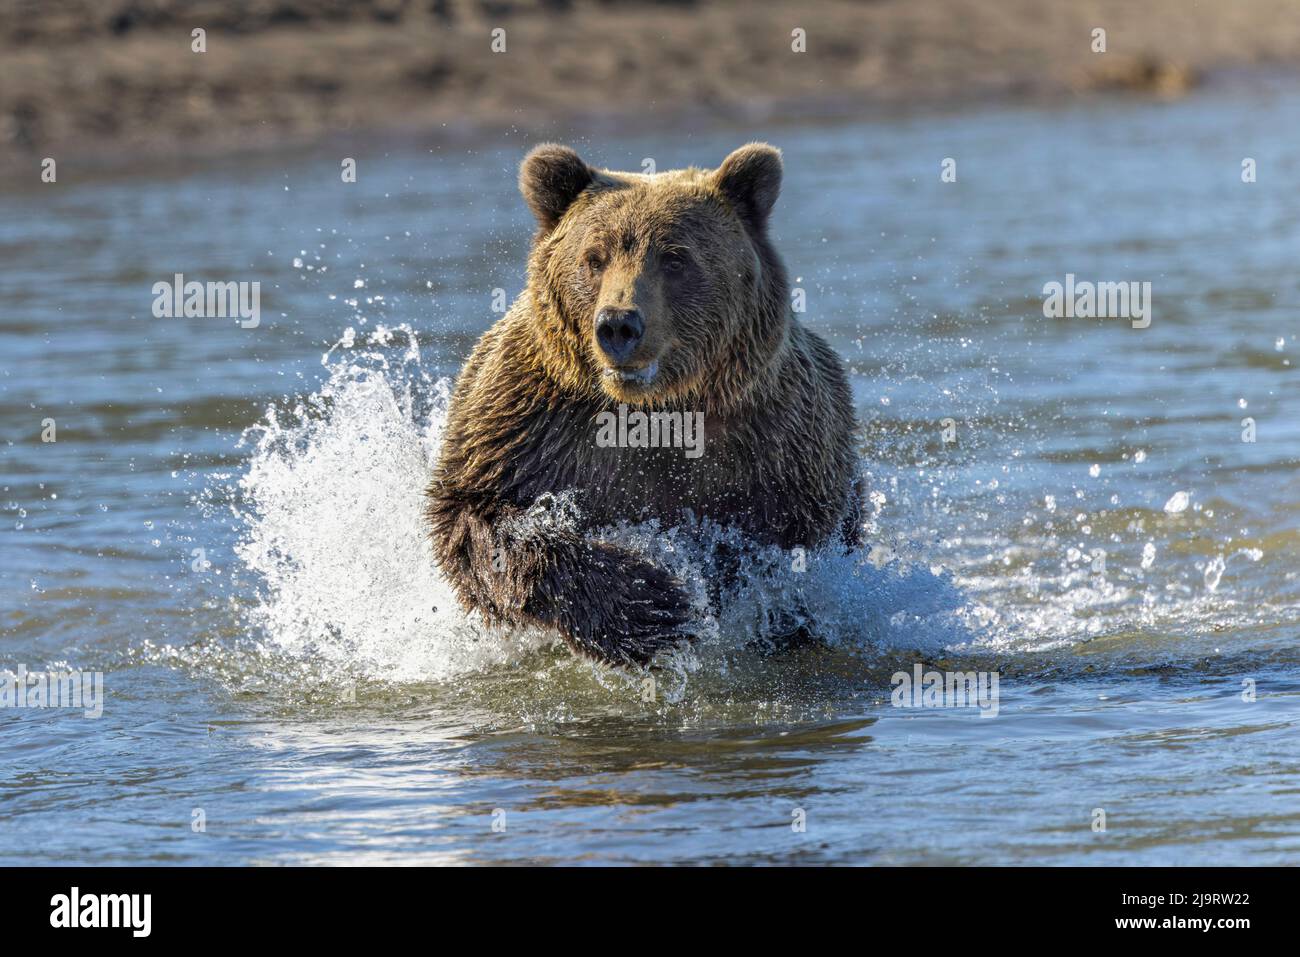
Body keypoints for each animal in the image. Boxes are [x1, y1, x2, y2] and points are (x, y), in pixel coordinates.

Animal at [426, 143, 863, 665]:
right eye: (594, 257)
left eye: (675, 259)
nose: (618, 325)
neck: (654, 409)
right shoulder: (531, 425)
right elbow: (478, 517)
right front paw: (649, 602)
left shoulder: (776, 441)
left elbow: (779, 542)